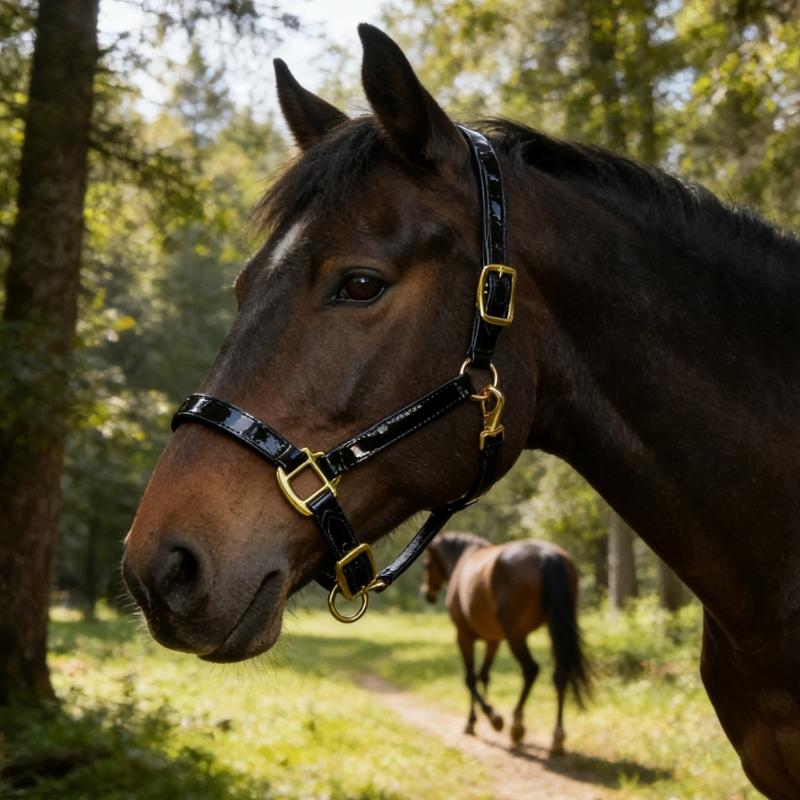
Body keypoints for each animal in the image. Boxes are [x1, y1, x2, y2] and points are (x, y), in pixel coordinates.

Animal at [421, 532, 589, 754]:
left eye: (427, 564)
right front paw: (483, 716)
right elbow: (484, 676)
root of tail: (547, 555)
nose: (427, 594)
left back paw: (517, 725)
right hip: (556, 627)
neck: (464, 557)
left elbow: (470, 679)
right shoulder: (493, 640)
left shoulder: (464, 636)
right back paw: (557, 737)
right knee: (560, 675)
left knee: (530, 669)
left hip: (516, 635)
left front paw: (485, 719)